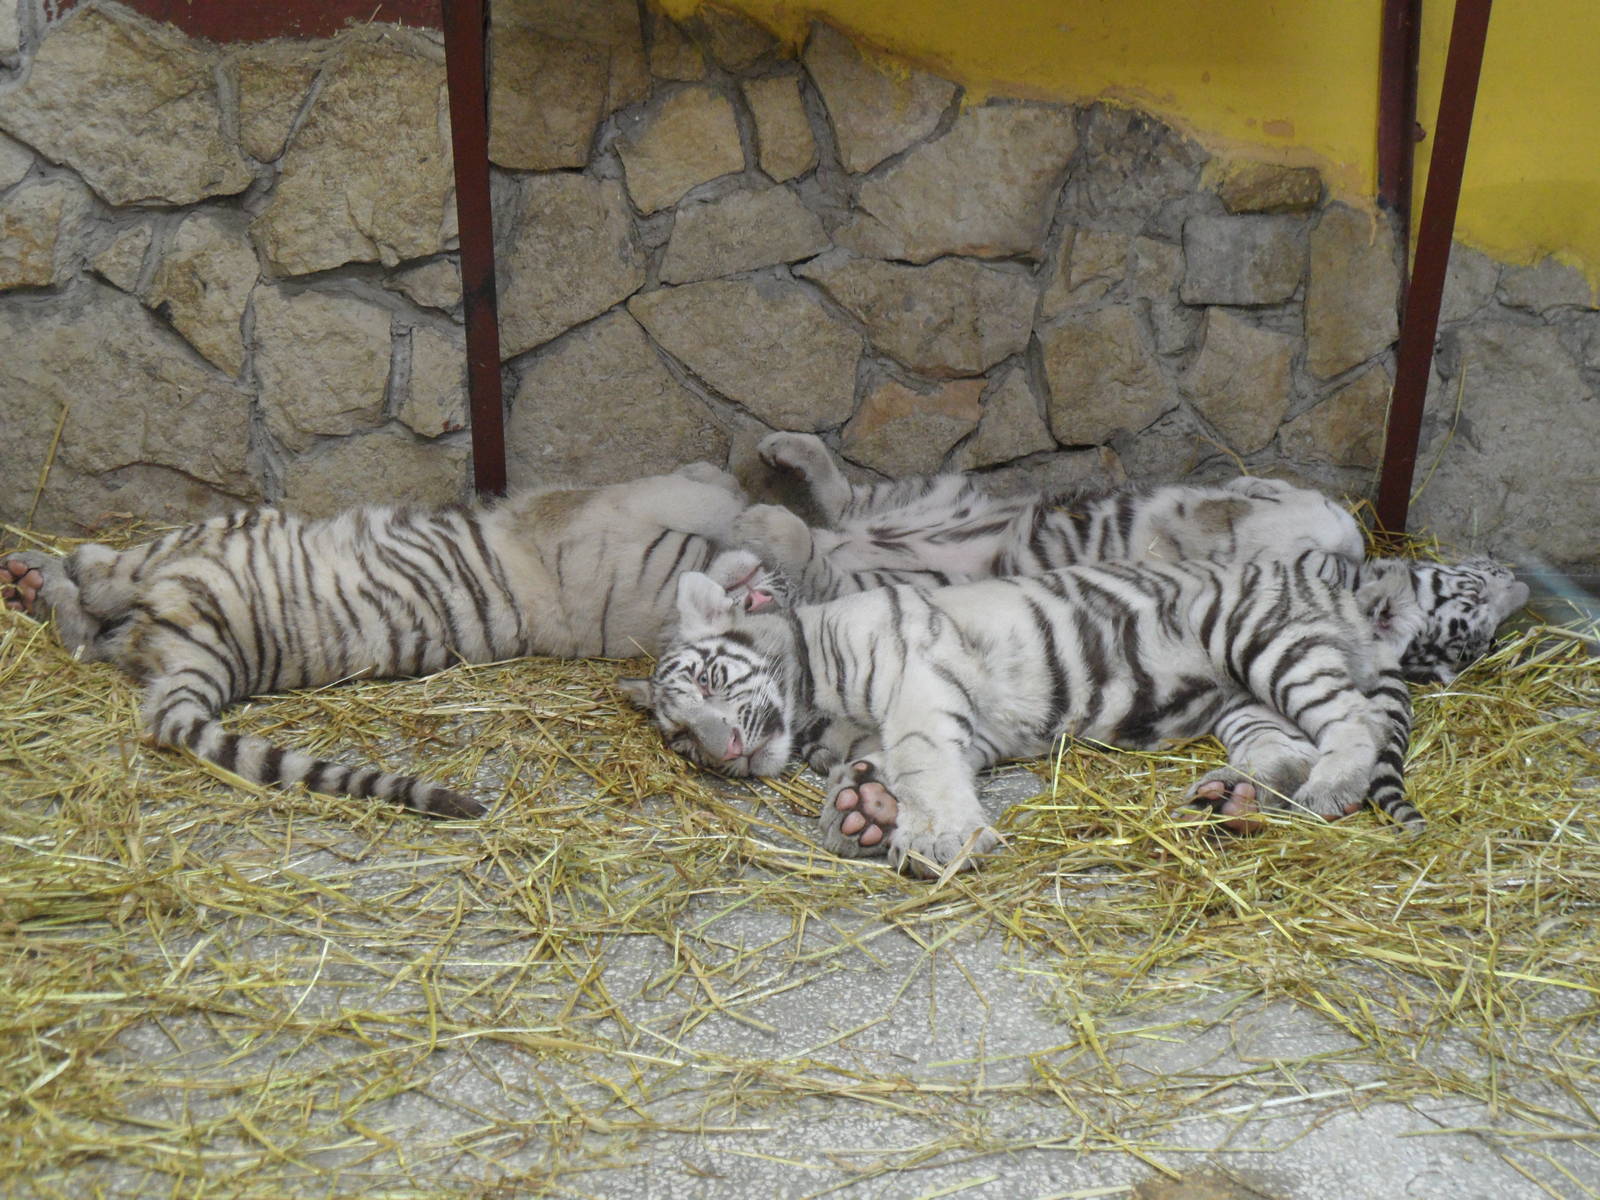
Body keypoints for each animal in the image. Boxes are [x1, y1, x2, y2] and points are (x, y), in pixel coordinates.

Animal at [1, 464, 784, 819]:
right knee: (92, 625)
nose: (768, 586)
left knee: (105, 586)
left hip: (216, 539)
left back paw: (48, 575)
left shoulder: (613, 521)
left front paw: (738, 505)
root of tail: (207, 660)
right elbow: (707, 500)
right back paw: (34, 581)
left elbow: (703, 496)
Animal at [622, 550, 1423, 876]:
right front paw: (860, 813)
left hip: (1259, 637)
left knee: (1355, 720)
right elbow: (889, 765)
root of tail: (1338, 591)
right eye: (681, 738)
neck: (815, 706)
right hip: (1238, 699)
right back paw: (1233, 797)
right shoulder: (961, 732)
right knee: (1286, 745)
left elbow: (919, 755)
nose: (724, 749)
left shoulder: (921, 676)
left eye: (714, 681)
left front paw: (941, 840)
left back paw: (1330, 791)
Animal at [734, 432, 1529, 682]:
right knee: (842, 498)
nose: (1515, 580)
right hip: (937, 495)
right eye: (1473, 595)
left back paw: (765, 519)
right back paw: (782, 451)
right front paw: (1244, 496)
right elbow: (1302, 512)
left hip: (908, 563)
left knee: (819, 553)